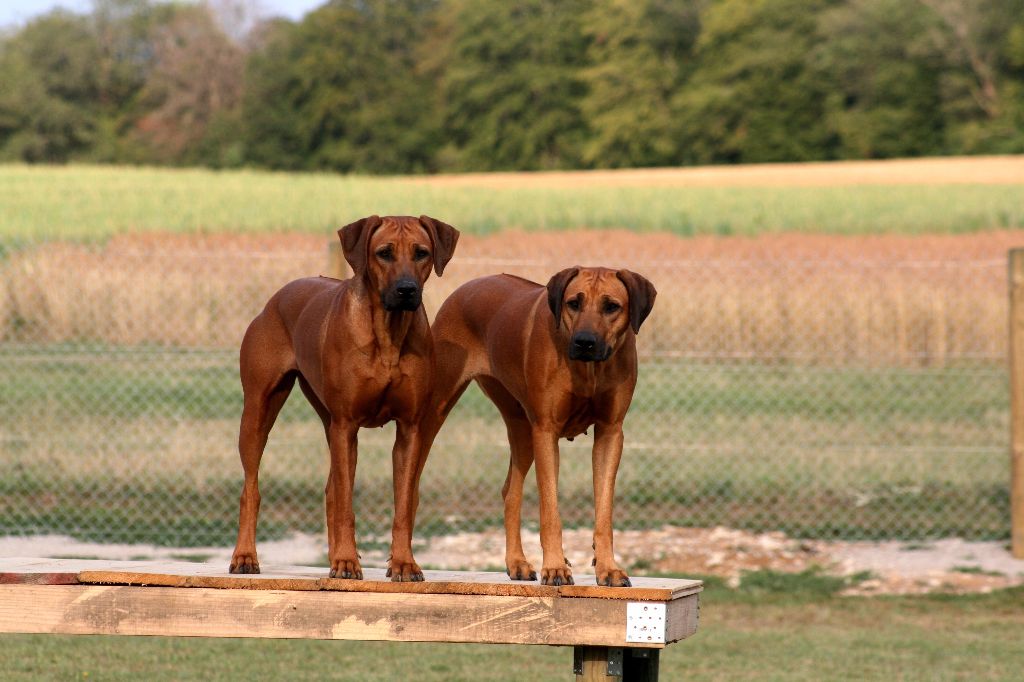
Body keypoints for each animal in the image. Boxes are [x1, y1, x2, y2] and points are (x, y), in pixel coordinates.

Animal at [232, 212, 460, 577]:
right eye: (384, 253)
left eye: (421, 253)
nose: (407, 290)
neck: (388, 333)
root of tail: (278, 295)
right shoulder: (347, 424)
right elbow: (346, 506)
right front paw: (347, 560)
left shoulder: (410, 429)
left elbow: (403, 505)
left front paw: (403, 562)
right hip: (258, 412)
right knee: (251, 488)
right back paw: (245, 556)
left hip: (328, 420)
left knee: (330, 490)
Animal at [413, 266, 655, 585]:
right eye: (573, 303)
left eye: (611, 306)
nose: (584, 342)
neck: (588, 369)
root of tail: (466, 287)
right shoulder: (546, 431)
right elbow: (550, 512)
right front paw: (554, 567)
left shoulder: (611, 431)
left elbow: (604, 512)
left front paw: (609, 568)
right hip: (433, 412)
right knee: (409, 486)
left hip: (522, 428)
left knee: (510, 491)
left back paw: (517, 562)